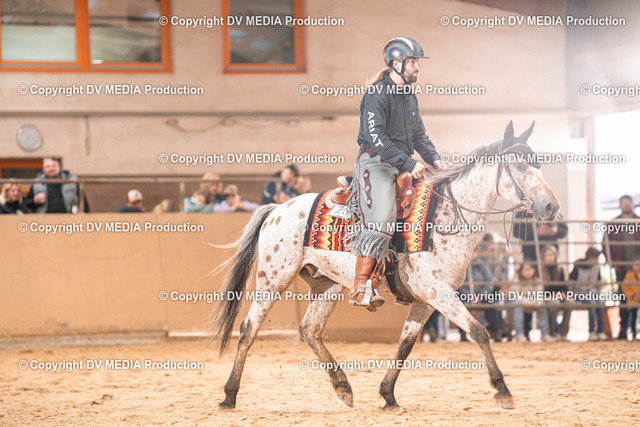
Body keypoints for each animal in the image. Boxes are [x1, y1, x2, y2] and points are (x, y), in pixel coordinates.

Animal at [209, 121, 559, 410]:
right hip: (273, 279)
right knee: (248, 328)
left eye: (539, 163)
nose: (551, 206)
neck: (444, 217)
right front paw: (502, 389)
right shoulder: (438, 293)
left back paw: (343, 387)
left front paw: (387, 394)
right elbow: (479, 331)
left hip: (327, 285)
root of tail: (277, 209)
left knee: (309, 330)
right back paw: (229, 394)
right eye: (519, 163)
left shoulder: (425, 300)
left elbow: (405, 344)